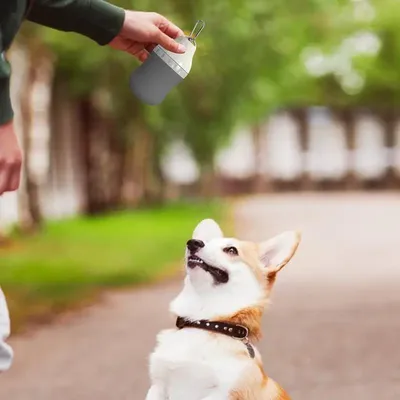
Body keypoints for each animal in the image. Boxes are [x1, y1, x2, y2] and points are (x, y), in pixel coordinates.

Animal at [146, 219, 300, 400]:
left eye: (231, 250)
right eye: (205, 241)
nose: (193, 242)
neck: (203, 322)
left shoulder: (221, 393)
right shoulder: (157, 388)